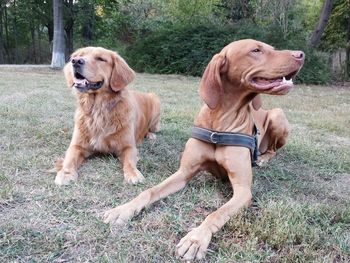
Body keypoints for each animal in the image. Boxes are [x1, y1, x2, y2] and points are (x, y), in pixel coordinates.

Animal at [54, 47, 160, 187]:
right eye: (79, 55)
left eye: (100, 59)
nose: (75, 61)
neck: (98, 110)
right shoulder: (77, 145)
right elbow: (69, 159)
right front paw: (65, 173)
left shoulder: (128, 147)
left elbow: (129, 161)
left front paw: (133, 174)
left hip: (156, 101)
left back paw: (151, 135)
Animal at [102, 40, 304, 260]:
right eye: (256, 50)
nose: (301, 54)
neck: (221, 121)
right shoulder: (183, 172)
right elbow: (149, 191)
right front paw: (123, 209)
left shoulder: (243, 191)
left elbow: (216, 213)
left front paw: (195, 239)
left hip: (277, 115)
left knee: (274, 149)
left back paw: (264, 159)